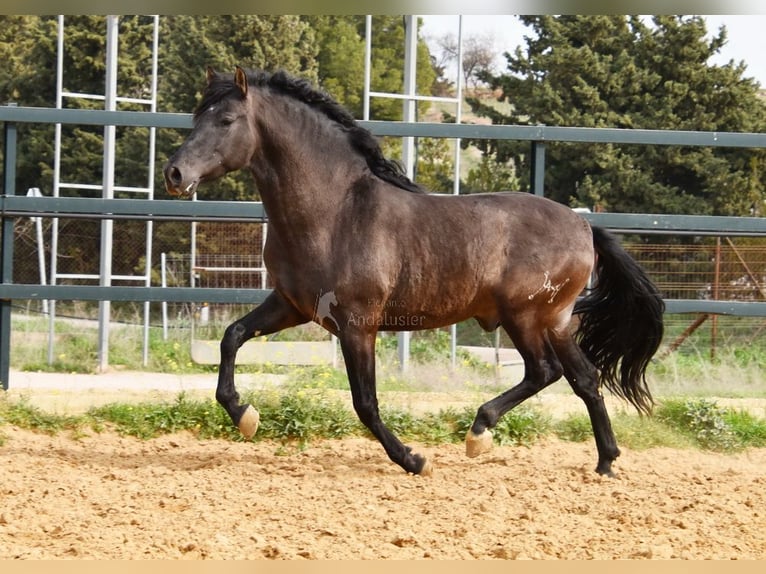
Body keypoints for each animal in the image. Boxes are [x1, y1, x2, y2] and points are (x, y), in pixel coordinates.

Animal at [164, 67, 664, 480]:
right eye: (197, 116)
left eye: (227, 120)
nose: (174, 173)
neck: (333, 213)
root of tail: (584, 226)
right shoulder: (291, 306)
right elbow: (231, 337)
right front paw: (245, 416)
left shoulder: (358, 324)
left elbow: (365, 402)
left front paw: (413, 459)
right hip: (555, 320)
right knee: (585, 379)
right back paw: (605, 462)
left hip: (524, 317)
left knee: (544, 371)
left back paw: (479, 433)